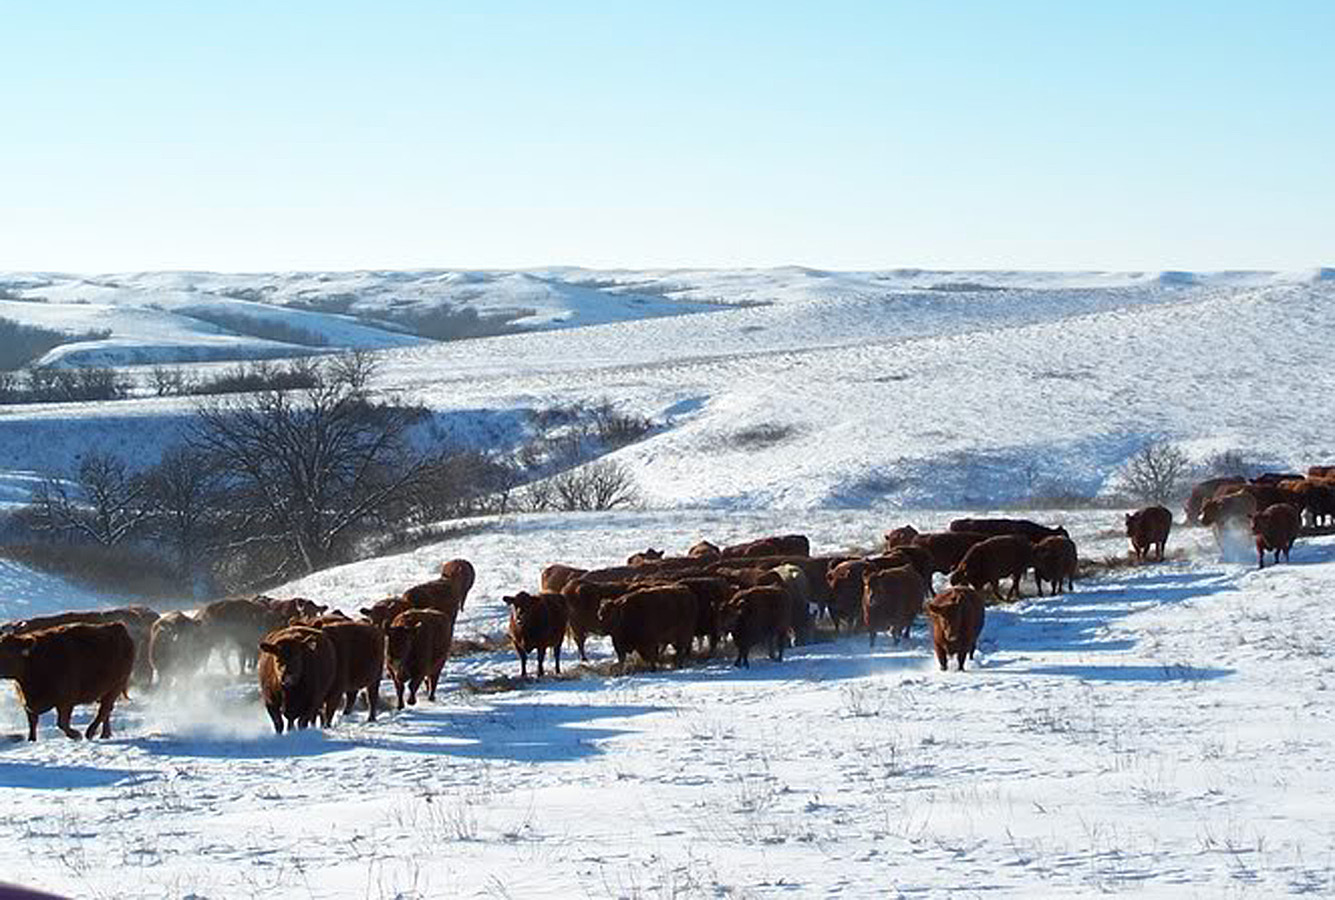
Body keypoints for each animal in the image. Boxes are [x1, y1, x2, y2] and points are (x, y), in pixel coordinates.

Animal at [0, 622, 135, 742]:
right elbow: (32, 723)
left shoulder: (65, 701)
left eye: (8, 653)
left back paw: (90, 733)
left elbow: (62, 723)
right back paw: (105, 734)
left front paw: (77, 735)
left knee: (104, 709)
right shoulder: (27, 704)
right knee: (106, 710)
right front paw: (31, 740)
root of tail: (118, 626)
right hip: (106, 690)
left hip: (117, 685)